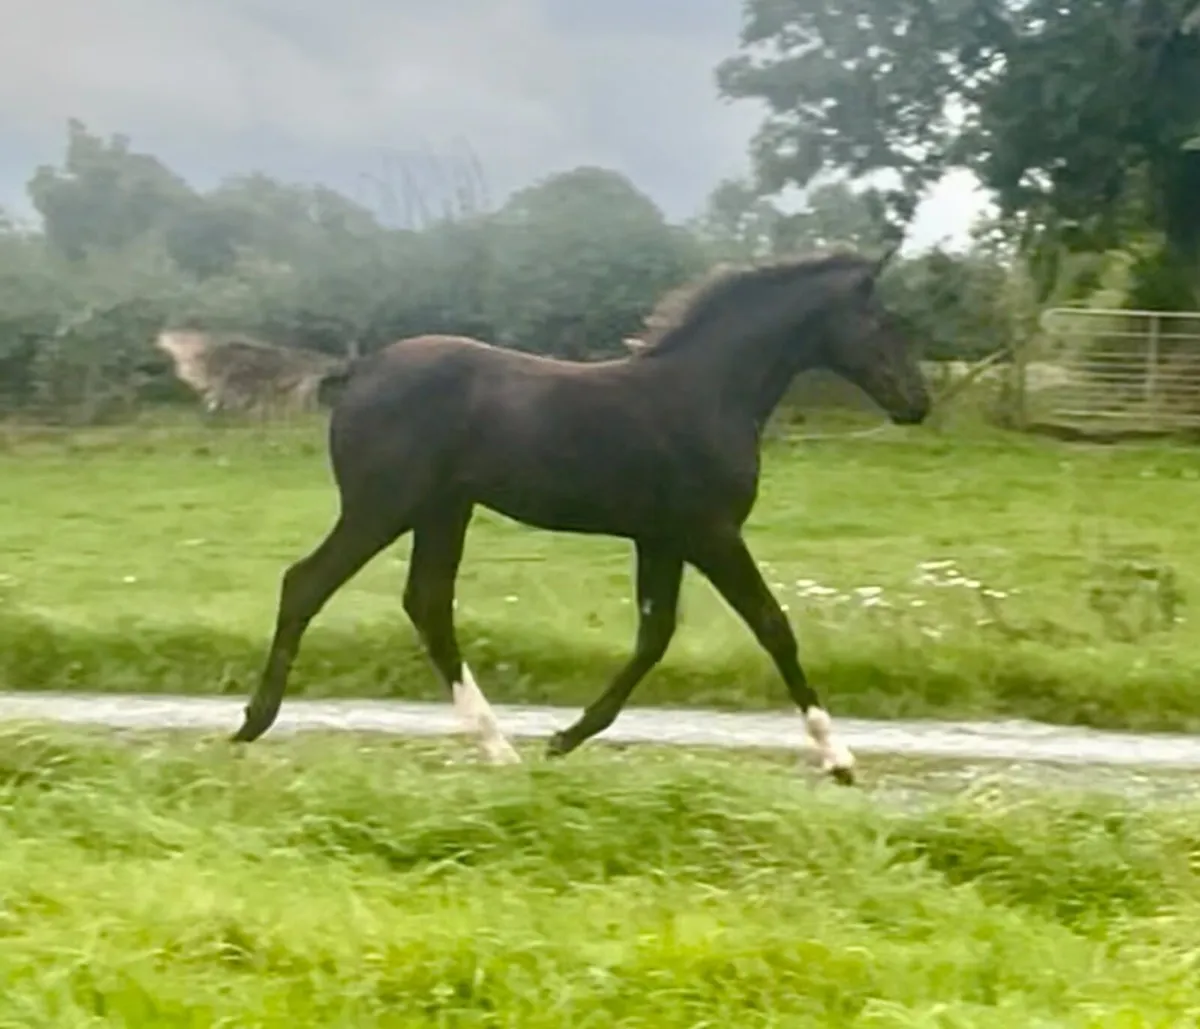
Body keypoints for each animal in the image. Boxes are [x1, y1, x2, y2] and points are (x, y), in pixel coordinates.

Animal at [231, 248, 931, 785]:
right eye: (881, 322)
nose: (918, 403)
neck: (706, 392)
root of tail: (359, 369)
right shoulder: (711, 533)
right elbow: (772, 626)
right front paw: (839, 758)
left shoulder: (662, 539)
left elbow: (655, 636)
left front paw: (564, 738)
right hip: (385, 505)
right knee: (308, 582)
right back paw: (253, 724)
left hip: (442, 511)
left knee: (426, 604)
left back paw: (499, 748)